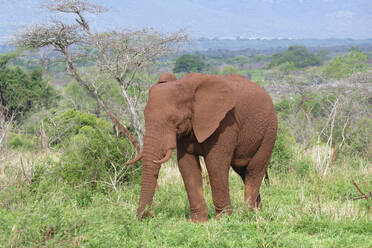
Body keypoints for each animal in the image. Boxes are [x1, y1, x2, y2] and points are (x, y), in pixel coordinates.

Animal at [126, 72, 278, 223]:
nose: (148, 215)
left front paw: (222, 220)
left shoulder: (225, 123)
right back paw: (258, 212)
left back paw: (248, 214)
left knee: (254, 170)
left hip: (269, 131)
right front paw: (197, 221)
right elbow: (187, 165)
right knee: (243, 171)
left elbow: (215, 164)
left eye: (173, 119)